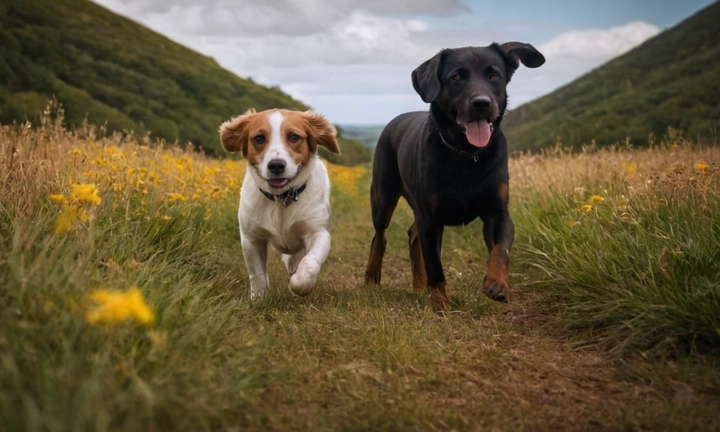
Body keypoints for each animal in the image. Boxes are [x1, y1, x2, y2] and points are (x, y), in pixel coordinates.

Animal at [219, 107, 340, 300]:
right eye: (259, 138)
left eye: (294, 137)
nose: (276, 165)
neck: (281, 199)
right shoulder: (251, 238)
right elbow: (257, 273)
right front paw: (259, 298)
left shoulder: (318, 232)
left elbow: (309, 264)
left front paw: (299, 286)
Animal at [366, 41, 544, 310]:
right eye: (456, 77)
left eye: (494, 75)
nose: (482, 103)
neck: (467, 156)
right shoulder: (430, 218)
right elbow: (435, 267)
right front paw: (440, 304)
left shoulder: (497, 211)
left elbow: (501, 249)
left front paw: (497, 284)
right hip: (383, 196)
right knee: (380, 237)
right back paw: (372, 279)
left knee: (413, 236)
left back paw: (419, 285)